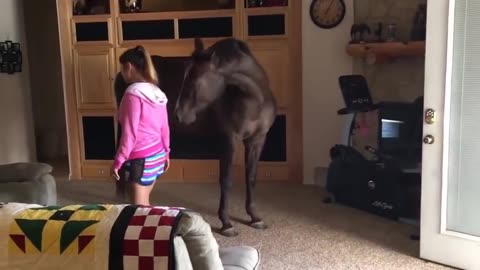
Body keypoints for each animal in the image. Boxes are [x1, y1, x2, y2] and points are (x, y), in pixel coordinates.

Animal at [174, 37, 276, 236]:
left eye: (193, 80)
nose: (179, 114)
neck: (255, 99)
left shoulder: (257, 140)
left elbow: (251, 177)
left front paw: (255, 217)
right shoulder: (229, 140)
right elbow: (226, 180)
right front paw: (227, 224)